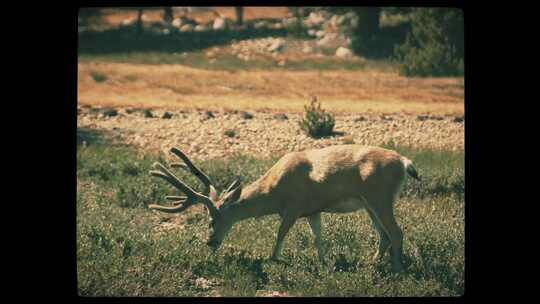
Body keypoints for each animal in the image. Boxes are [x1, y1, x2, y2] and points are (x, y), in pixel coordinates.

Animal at [149, 145, 422, 274]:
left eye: (212, 219)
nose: (210, 242)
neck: (273, 191)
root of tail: (404, 162)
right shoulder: (313, 211)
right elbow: (318, 238)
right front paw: (326, 264)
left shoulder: (293, 207)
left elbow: (279, 235)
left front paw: (277, 259)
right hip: (369, 204)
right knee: (384, 235)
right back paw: (371, 264)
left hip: (380, 197)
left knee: (396, 232)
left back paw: (398, 270)